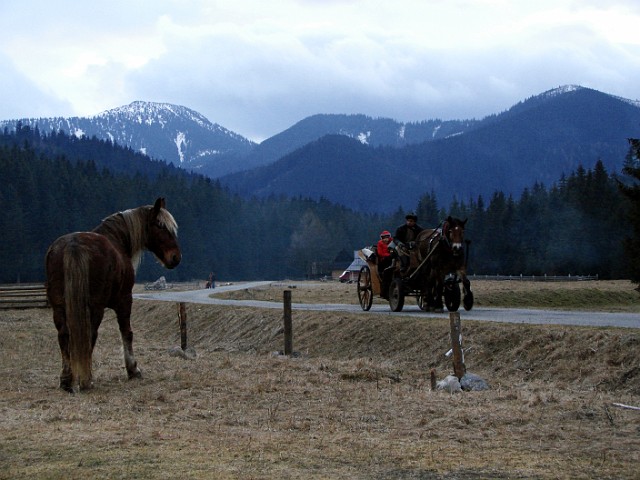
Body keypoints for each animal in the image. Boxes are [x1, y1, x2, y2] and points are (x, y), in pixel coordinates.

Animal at [45, 197, 181, 392]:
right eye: (161, 226)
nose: (176, 257)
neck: (117, 239)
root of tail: (73, 245)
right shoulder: (124, 301)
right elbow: (127, 333)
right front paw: (133, 370)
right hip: (95, 308)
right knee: (90, 335)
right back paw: (86, 379)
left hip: (59, 307)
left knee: (63, 336)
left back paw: (66, 379)